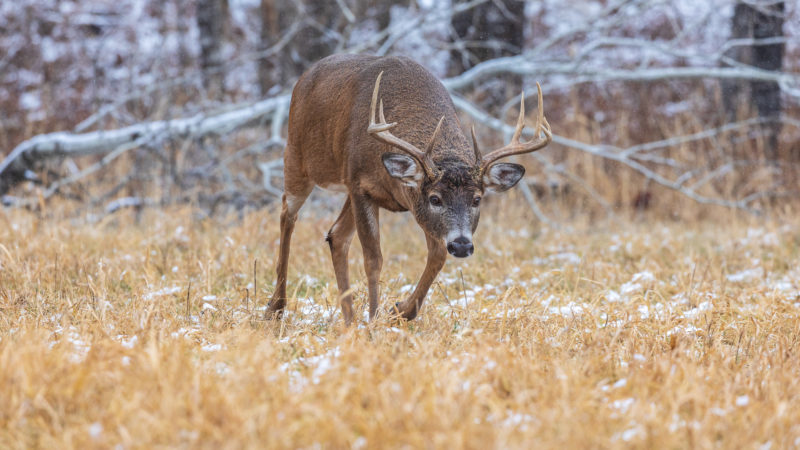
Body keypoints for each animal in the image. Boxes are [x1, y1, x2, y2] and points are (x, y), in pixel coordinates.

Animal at [265, 54, 552, 325]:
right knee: (287, 214)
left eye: (477, 199)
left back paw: (348, 321)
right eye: (435, 199)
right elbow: (373, 259)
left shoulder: (407, 204)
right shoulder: (360, 185)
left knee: (336, 235)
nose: (461, 245)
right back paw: (276, 307)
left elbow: (437, 255)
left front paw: (399, 310)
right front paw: (374, 320)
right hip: (297, 157)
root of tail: (305, 76)